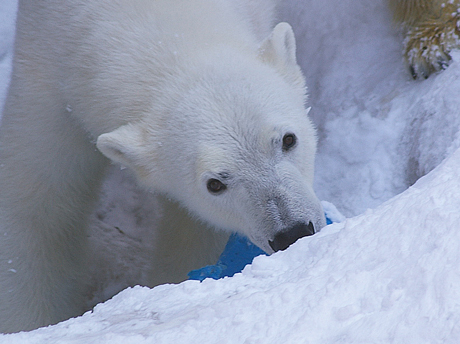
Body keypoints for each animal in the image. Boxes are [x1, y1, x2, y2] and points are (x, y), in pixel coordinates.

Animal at [0, 0, 324, 334]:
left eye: (288, 139)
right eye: (214, 184)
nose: (292, 232)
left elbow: (194, 233)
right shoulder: (49, 76)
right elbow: (37, 206)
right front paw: (28, 325)